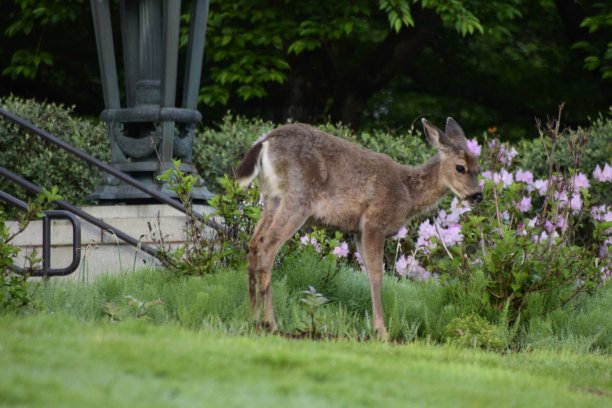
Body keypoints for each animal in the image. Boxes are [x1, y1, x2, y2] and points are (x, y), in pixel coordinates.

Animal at [235, 118, 482, 338]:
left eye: (478, 168)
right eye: (460, 167)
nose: (477, 195)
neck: (408, 194)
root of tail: (265, 141)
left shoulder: (357, 231)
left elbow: (367, 273)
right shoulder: (374, 221)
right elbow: (377, 274)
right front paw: (381, 331)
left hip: (271, 198)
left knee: (254, 244)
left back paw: (253, 318)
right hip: (297, 198)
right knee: (268, 247)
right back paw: (271, 323)